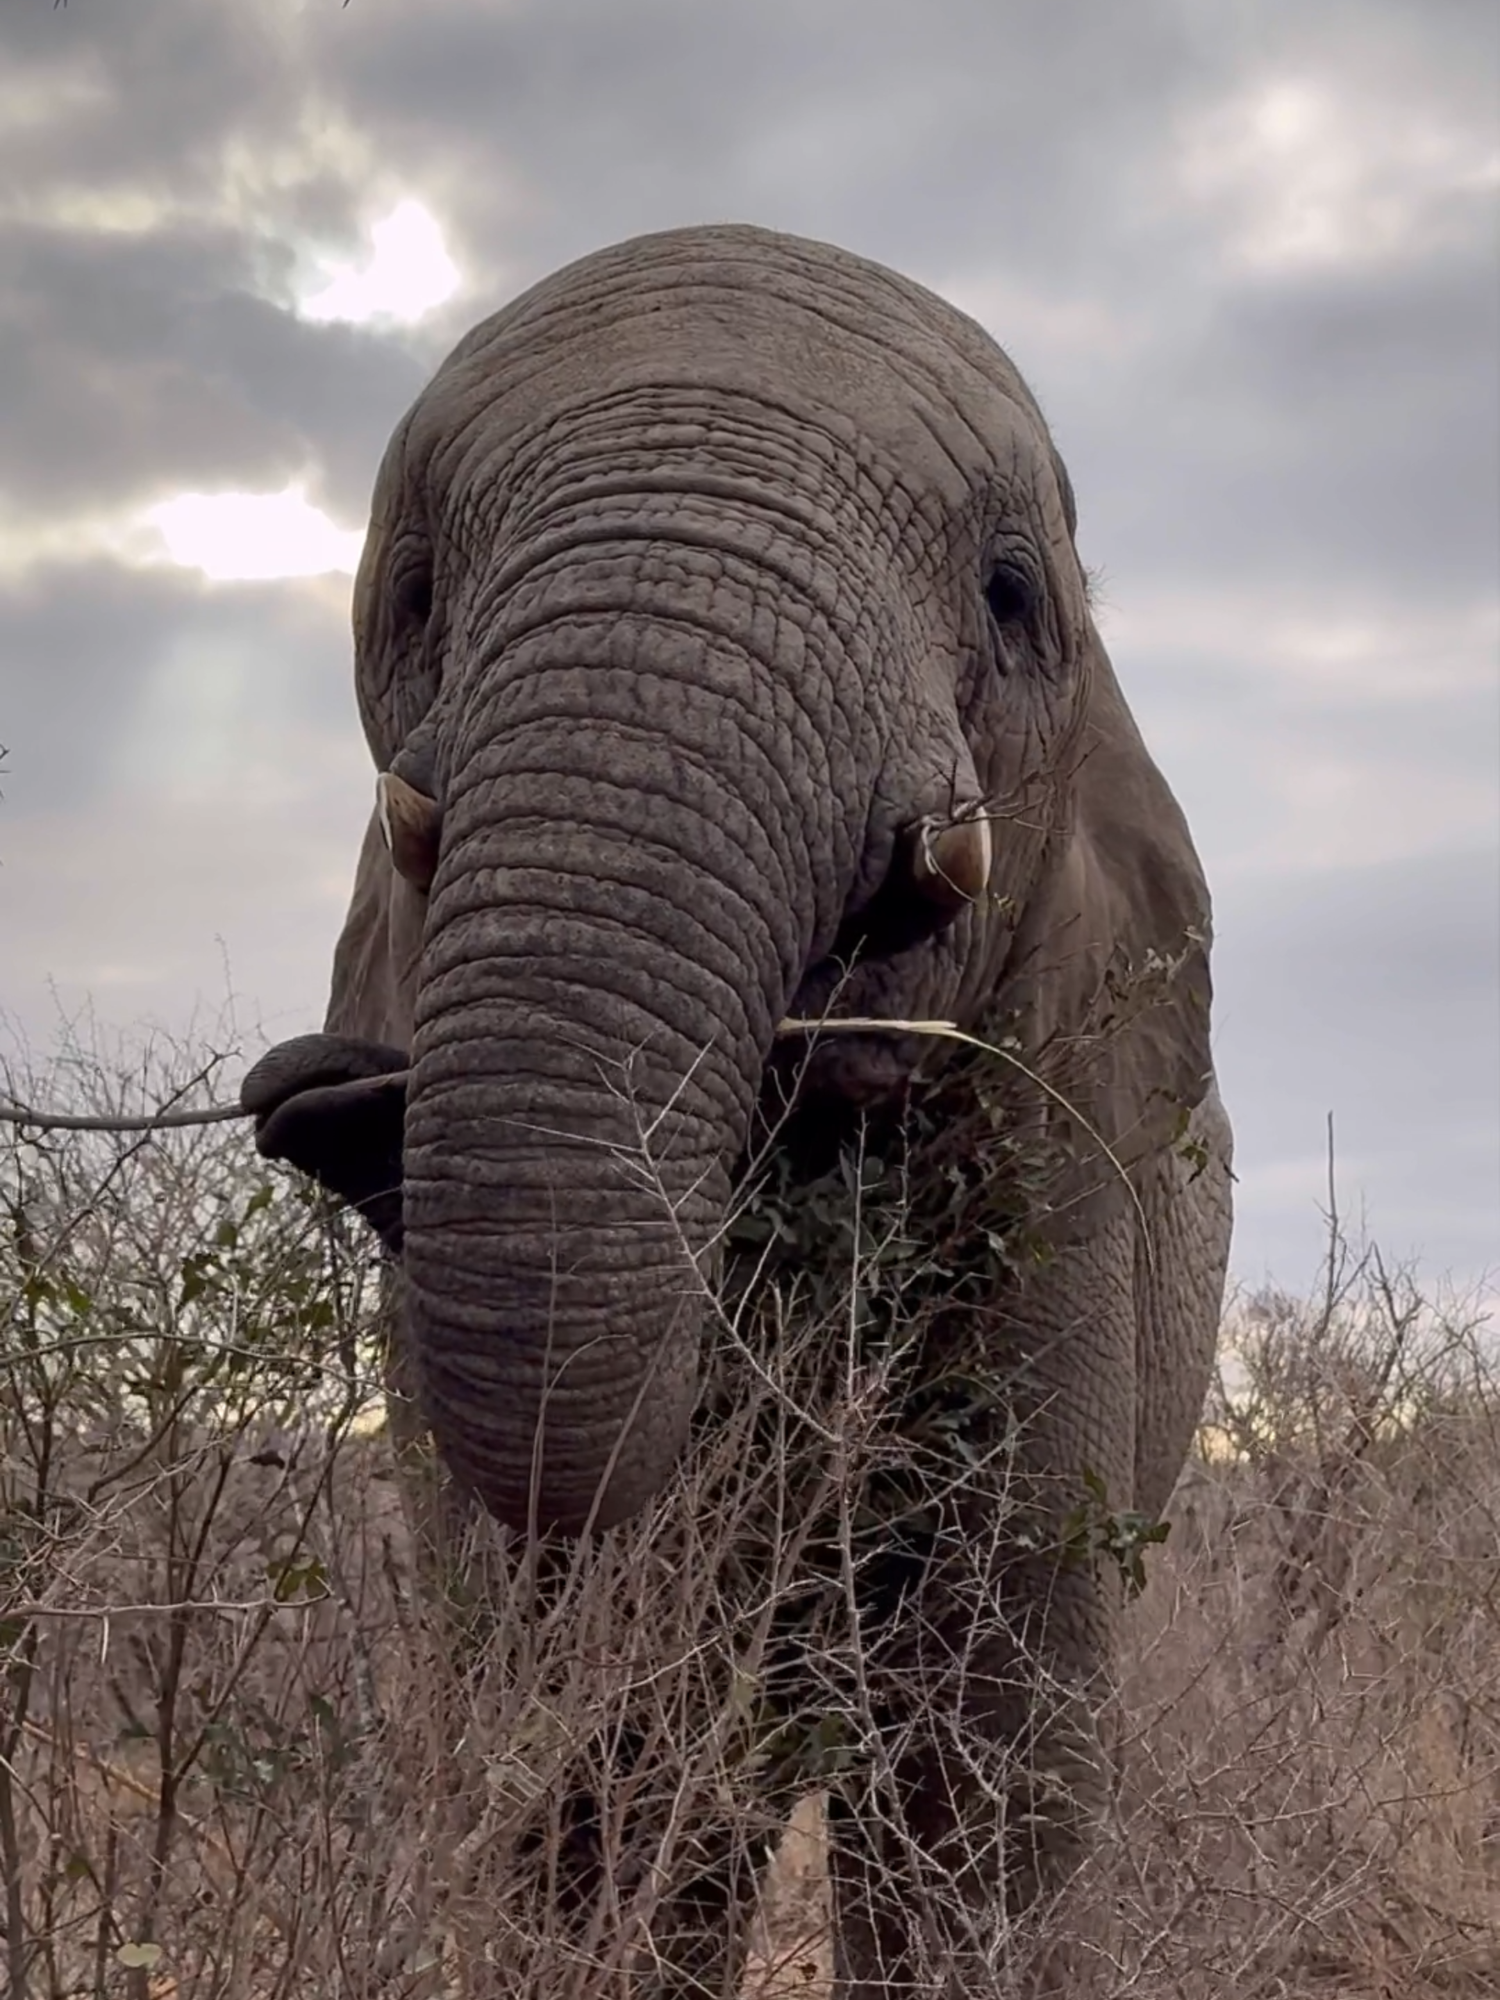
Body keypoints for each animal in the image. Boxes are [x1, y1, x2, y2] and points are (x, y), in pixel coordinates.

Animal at [244, 227, 1232, 1992]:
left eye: (1011, 596)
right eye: (415, 594)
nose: (326, 1103)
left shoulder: (1063, 1144)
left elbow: (976, 1772)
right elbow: (601, 1760)